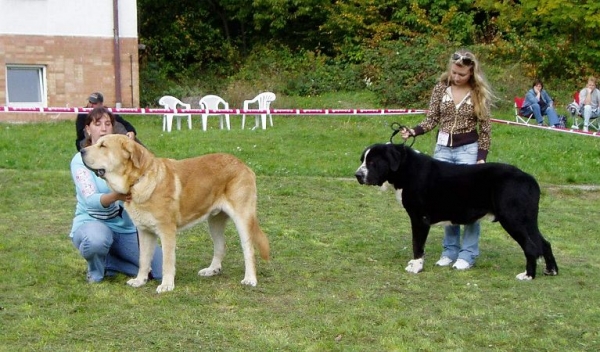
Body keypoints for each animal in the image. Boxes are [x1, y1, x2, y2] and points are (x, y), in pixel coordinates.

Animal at [356, 143, 556, 280]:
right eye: (363, 160)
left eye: (372, 162)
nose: (357, 175)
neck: (405, 169)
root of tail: (529, 178)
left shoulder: (420, 219)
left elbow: (417, 245)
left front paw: (416, 267)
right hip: (527, 221)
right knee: (544, 243)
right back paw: (551, 270)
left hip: (512, 219)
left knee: (531, 247)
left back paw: (528, 275)